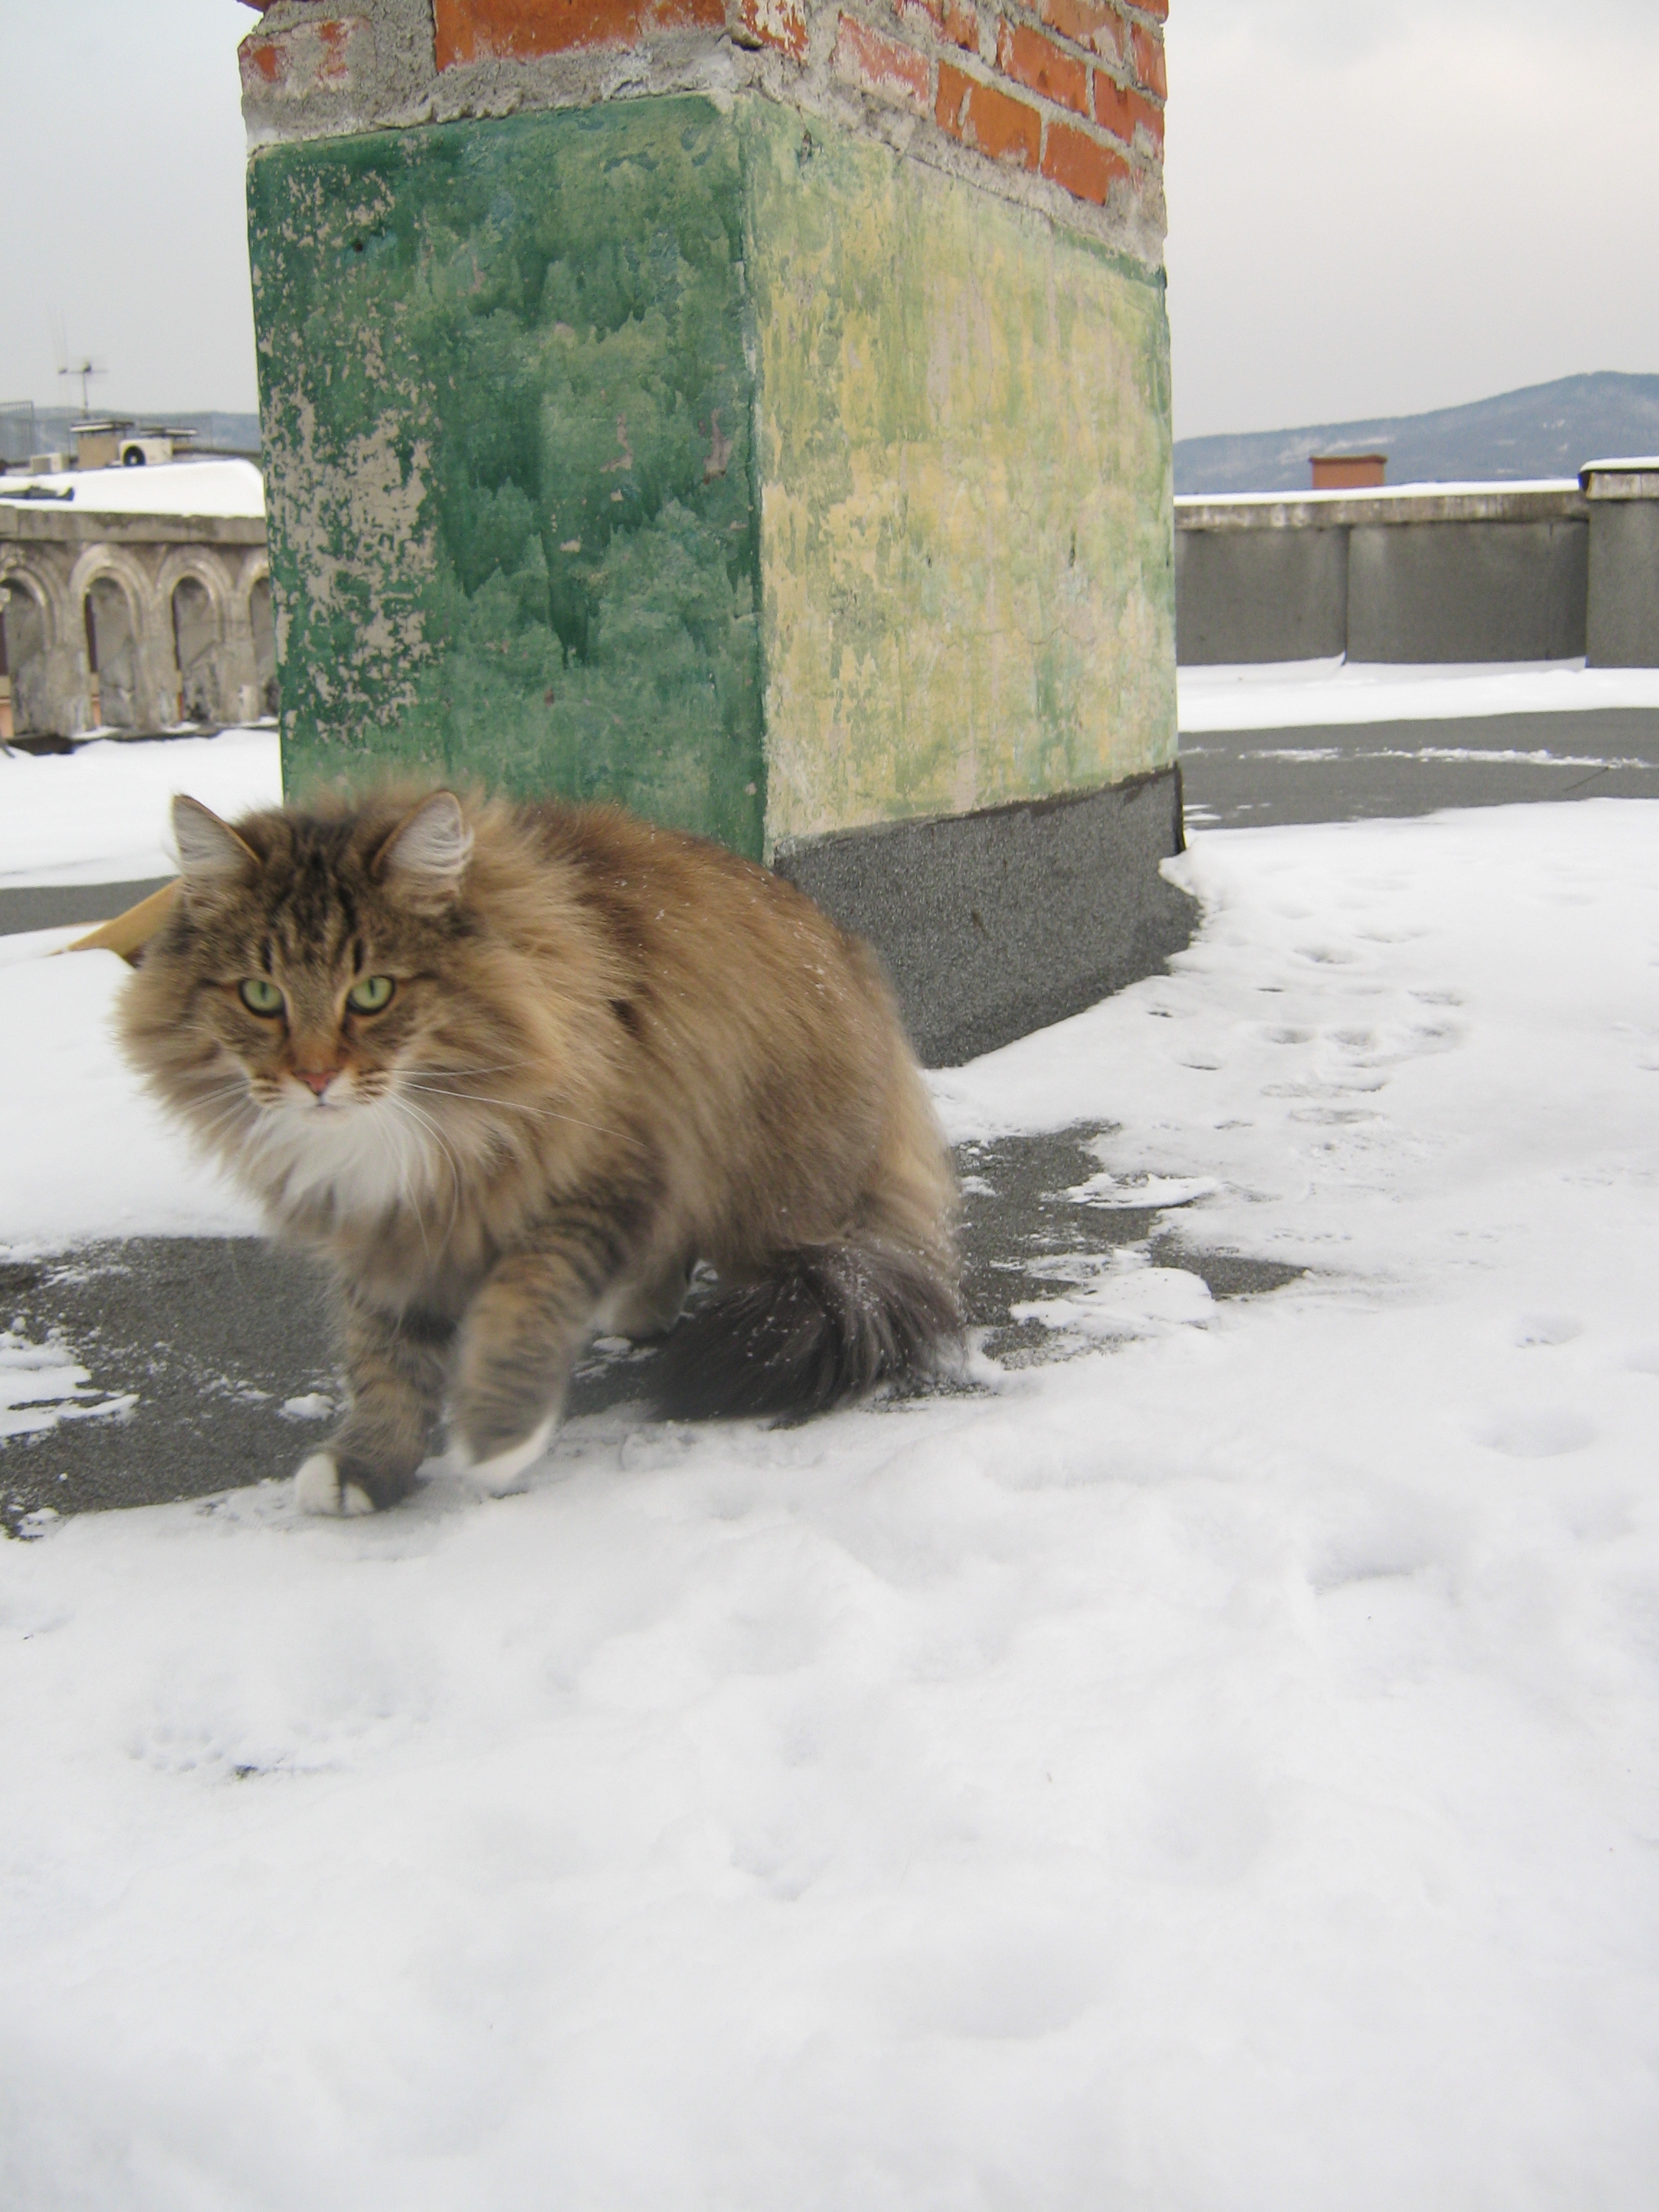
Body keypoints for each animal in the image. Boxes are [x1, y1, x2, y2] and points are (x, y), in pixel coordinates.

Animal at [118, 786, 962, 1515]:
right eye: (261, 996)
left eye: (373, 994)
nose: (315, 1077)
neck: (413, 1127)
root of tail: (849, 954)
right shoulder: (390, 1227)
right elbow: (384, 1358)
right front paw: (368, 1465)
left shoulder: (597, 1181)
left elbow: (522, 1308)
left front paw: (496, 1436)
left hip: (777, 1202)